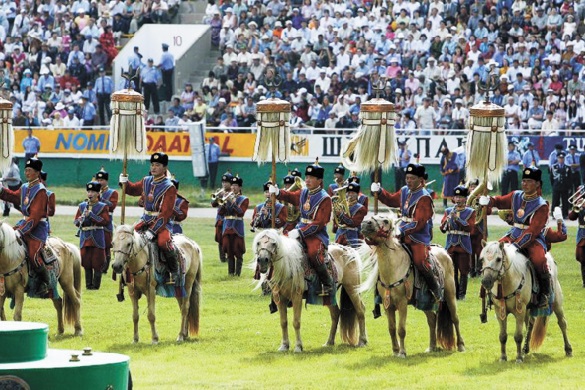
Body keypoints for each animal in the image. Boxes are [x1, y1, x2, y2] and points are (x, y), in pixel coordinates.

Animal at [358, 215, 464, 358]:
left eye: (385, 221)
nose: (365, 223)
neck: (392, 268)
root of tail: (445, 252)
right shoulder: (388, 305)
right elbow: (391, 329)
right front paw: (395, 350)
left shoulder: (402, 303)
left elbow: (401, 329)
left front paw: (402, 352)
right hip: (424, 301)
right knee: (432, 319)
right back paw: (432, 346)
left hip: (450, 294)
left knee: (455, 318)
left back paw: (461, 345)